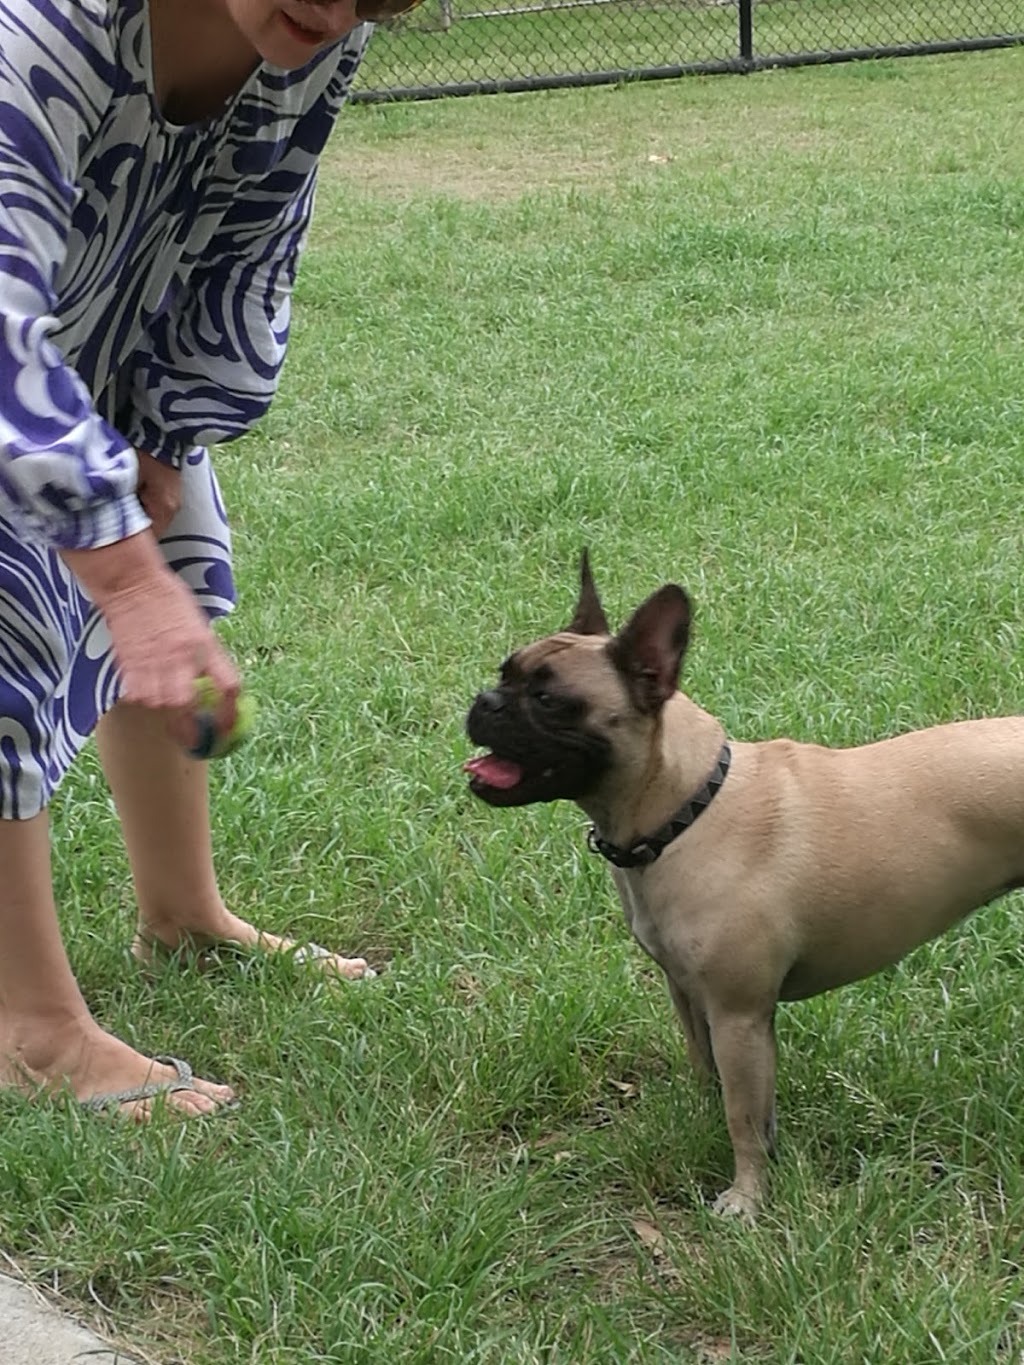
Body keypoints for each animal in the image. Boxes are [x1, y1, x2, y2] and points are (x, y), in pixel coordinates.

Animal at [464, 551, 1024, 1217]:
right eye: (505, 671)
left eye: (549, 699)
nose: (484, 701)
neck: (684, 810)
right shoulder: (692, 999)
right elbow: (714, 1081)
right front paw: (706, 1128)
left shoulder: (739, 1017)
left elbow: (743, 1115)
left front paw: (747, 1197)